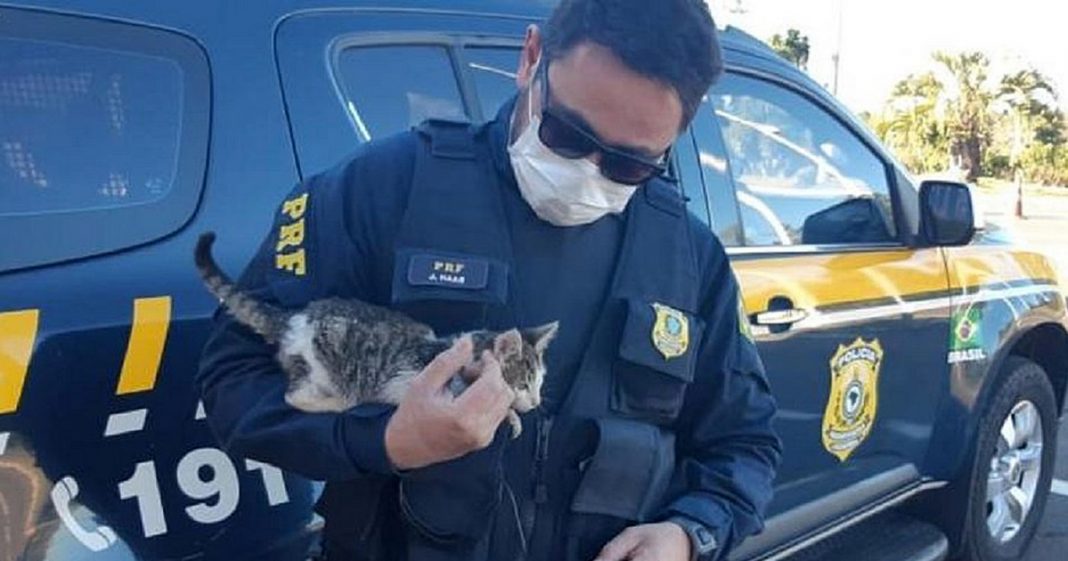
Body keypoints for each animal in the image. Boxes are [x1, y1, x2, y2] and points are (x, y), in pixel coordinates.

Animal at [197, 231, 559, 438]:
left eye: (540, 383)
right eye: (523, 383)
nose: (536, 402)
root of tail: (294, 318)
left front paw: (512, 416)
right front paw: (509, 413)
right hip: (327, 361)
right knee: (294, 395)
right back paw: (340, 403)